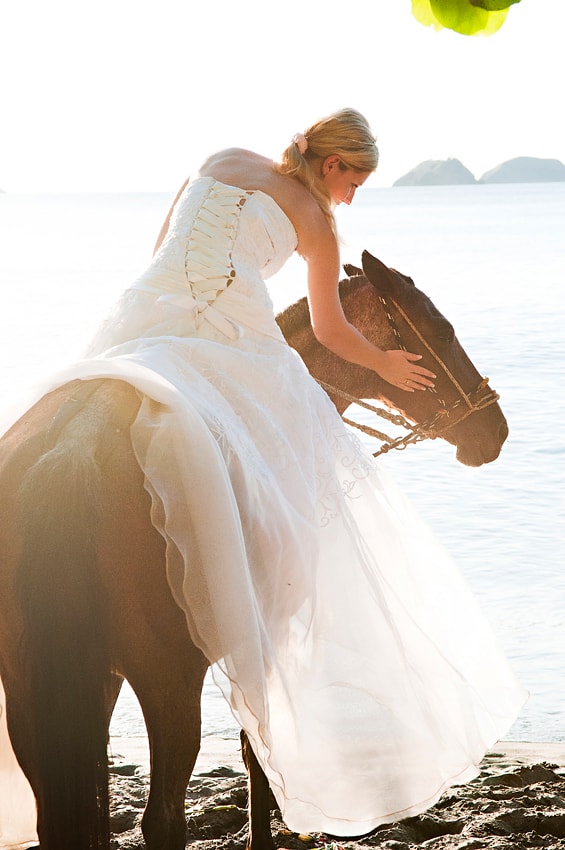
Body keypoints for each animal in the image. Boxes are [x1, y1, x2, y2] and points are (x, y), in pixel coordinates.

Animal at [0, 252, 506, 848]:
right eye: (442, 331)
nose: (494, 428)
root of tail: (71, 447)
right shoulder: (263, 634)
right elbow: (257, 753)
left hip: (41, 680)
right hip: (166, 679)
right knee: (162, 818)